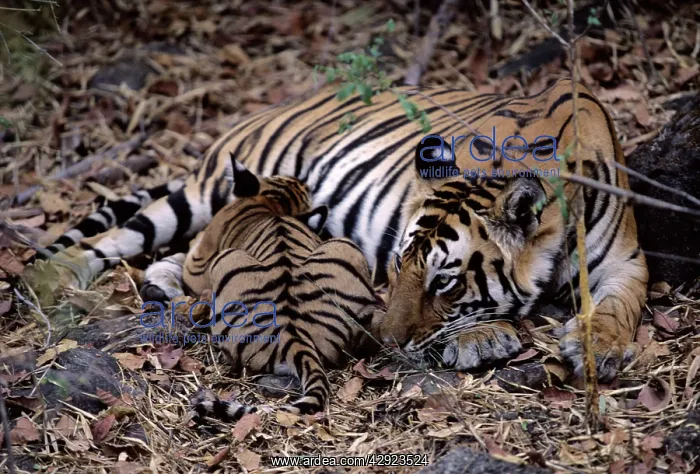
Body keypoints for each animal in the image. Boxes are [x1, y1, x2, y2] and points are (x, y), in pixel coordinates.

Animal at [30, 78, 648, 382]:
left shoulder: (628, 260)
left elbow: (622, 305)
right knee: (116, 239)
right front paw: (484, 337)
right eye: (398, 265)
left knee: (183, 259)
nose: (385, 342)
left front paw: (598, 347)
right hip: (209, 193)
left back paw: (167, 289)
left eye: (445, 281)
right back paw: (52, 277)